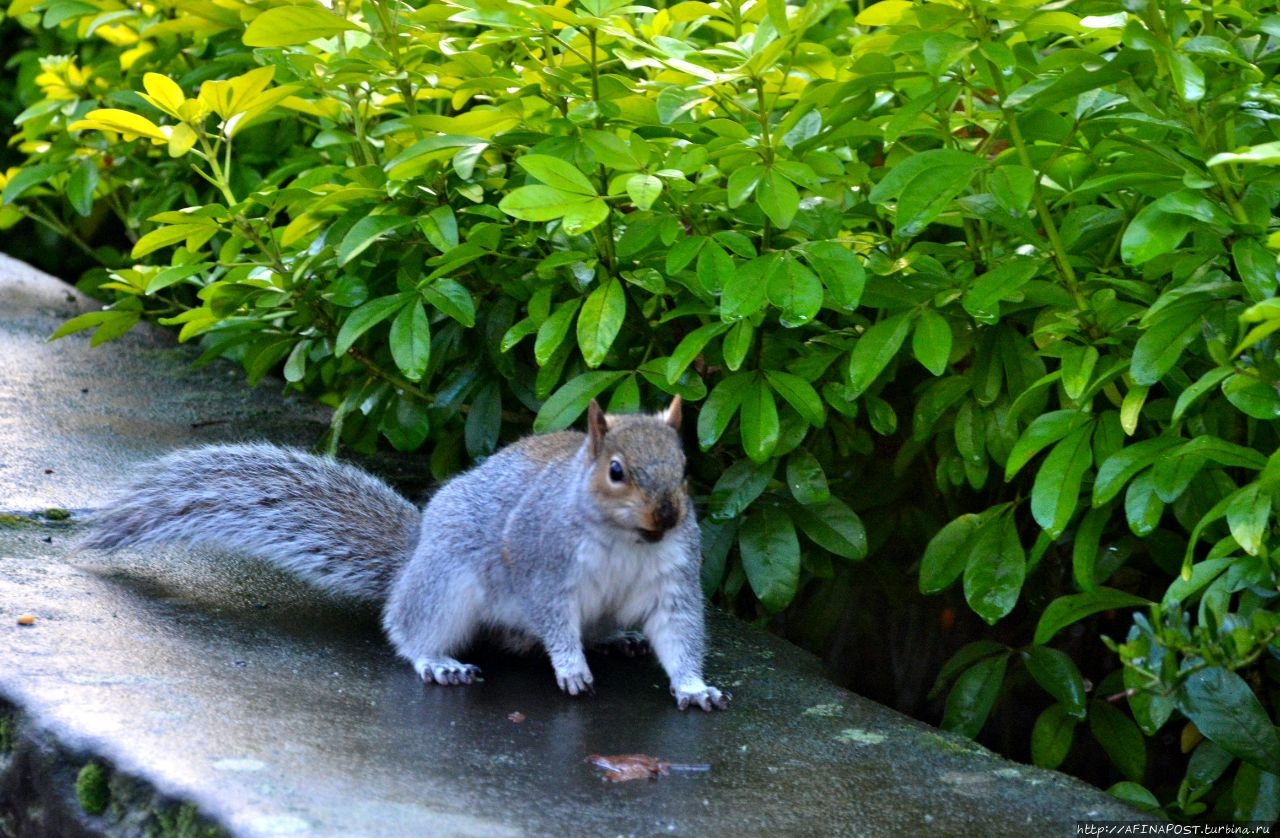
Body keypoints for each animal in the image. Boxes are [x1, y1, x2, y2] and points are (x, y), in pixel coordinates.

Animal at [82, 396, 732, 711]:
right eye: (616, 471)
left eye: (684, 469)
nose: (667, 516)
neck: (630, 542)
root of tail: (412, 560)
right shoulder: (543, 564)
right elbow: (553, 619)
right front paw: (571, 668)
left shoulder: (673, 582)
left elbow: (679, 636)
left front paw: (694, 688)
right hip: (447, 585)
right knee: (408, 628)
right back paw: (438, 661)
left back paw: (617, 638)